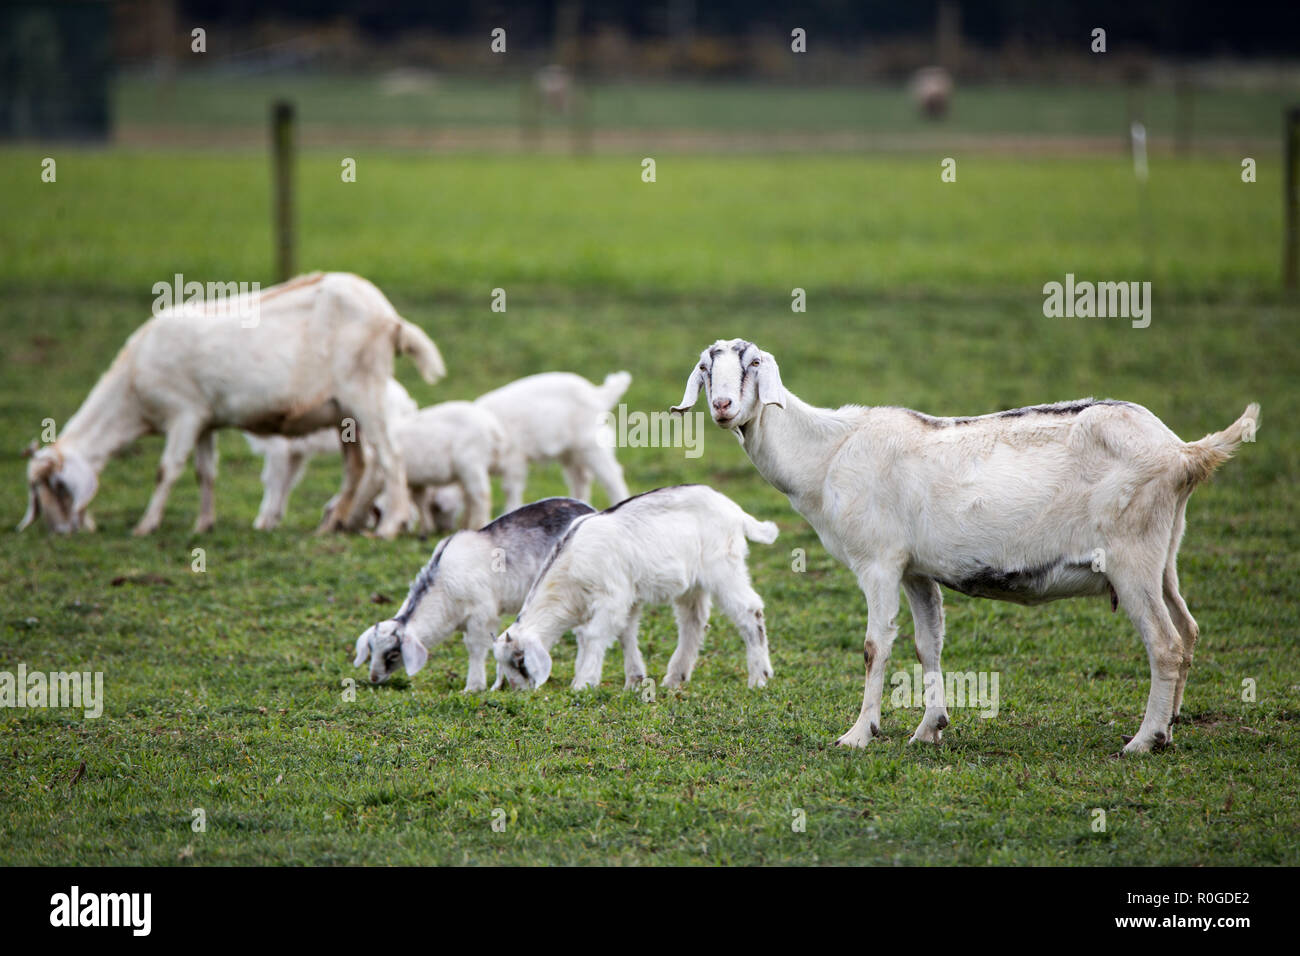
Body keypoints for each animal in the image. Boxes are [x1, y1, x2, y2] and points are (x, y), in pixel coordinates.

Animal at [19, 272, 445, 539]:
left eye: (55, 487)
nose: (60, 532)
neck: (131, 393)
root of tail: (391, 317)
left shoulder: (183, 413)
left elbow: (166, 470)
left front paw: (146, 525)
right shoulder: (205, 421)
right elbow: (205, 473)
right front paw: (203, 524)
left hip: (364, 392)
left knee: (391, 456)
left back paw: (389, 526)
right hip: (343, 413)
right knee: (356, 466)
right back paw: (331, 526)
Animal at [353, 497, 595, 691]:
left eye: (393, 654)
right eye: (371, 649)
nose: (374, 678)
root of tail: (590, 509)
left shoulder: (482, 615)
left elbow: (475, 648)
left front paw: (473, 688)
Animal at [492, 484, 778, 692]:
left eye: (520, 662)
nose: (518, 691)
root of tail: (736, 512)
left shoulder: (613, 597)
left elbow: (592, 635)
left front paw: (583, 683)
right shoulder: (627, 599)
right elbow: (624, 634)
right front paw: (634, 680)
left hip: (724, 568)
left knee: (750, 610)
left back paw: (759, 678)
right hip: (693, 584)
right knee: (693, 622)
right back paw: (675, 677)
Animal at [672, 338, 1259, 754]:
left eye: (752, 364)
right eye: (704, 368)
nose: (722, 405)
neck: (829, 450)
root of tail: (1184, 452)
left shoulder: (879, 561)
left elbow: (874, 646)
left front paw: (858, 734)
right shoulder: (915, 569)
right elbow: (927, 644)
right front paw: (929, 728)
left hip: (1132, 555)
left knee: (1165, 643)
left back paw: (1142, 741)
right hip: (1165, 553)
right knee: (1188, 630)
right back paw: (1171, 726)